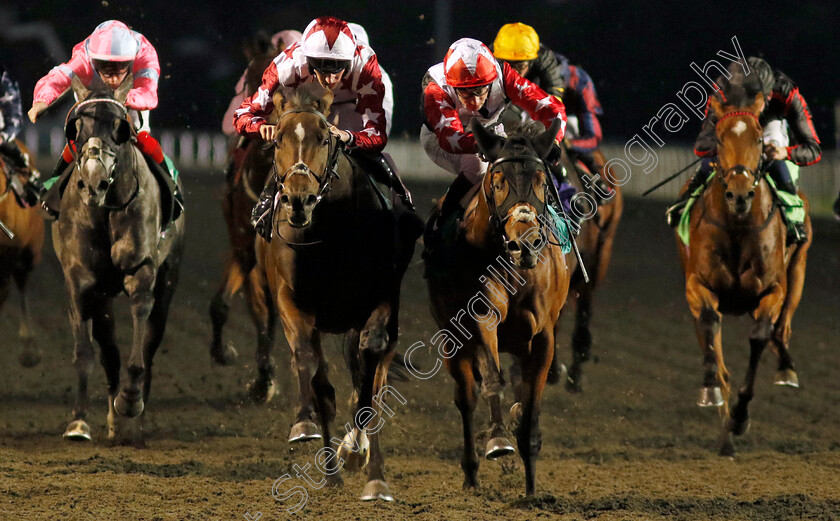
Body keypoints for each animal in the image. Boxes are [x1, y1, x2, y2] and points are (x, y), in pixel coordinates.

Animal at [54, 79, 185, 444]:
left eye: (121, 128)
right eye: (76, 129)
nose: (93, 182)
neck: (105, 210)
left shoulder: (142, 270)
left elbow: (141, 330)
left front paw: (130, 400)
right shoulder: (79, 281)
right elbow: (86, 351)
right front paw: (78, 421)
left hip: (169, 279)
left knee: (151, 342)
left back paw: (132, 418)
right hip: (102, 296)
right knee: (109, 348)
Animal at [426, 118, 572, 496]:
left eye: (541, 180)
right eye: (497, 180)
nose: (526, 244)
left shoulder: (543, 335)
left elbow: (532, 405)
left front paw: (532, 485)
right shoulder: (481, 315)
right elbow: (492, 376)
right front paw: (497, 438)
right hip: (451, 339)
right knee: (466, 396)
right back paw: (472, 471)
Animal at [676, 90, 808, 456]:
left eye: (759, 138)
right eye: (720, 138)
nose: (739, 195)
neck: (738, 226)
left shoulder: (773, 289)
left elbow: (761, 336)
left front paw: (740, 417)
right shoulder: (696, 285)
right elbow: (710, 330)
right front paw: (712, 392)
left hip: (798, 272)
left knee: (782, 330)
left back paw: (786, 367)